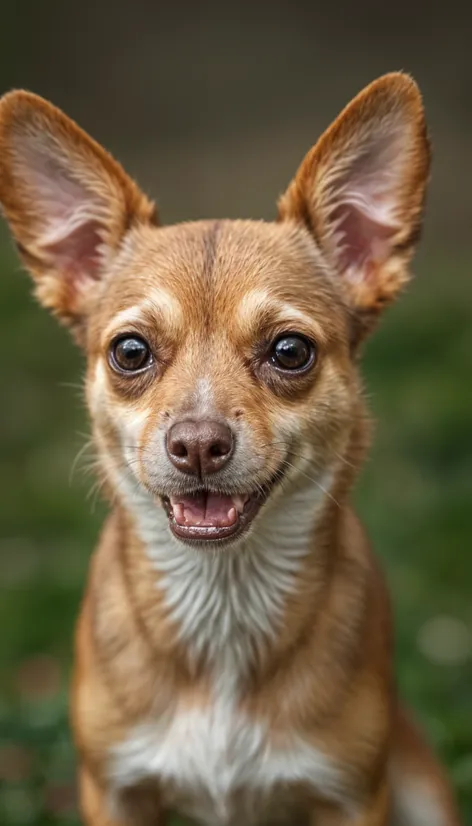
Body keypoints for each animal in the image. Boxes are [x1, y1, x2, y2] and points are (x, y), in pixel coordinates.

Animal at [0, 74, 462, 820]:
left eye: (290, 351)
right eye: (131, 352)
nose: (197, 443)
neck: (223, 609)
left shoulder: (350, 793)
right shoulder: (115, 789)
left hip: (419, 784)